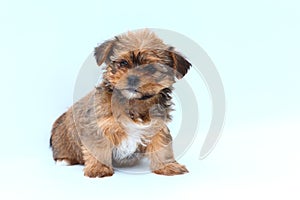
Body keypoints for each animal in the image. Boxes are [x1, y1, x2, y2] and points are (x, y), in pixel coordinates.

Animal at [49, 28, 190, 177]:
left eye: (151, 69)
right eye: (123, 63)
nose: (133, 78)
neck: (133, 102)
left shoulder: (158, 126)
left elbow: (162, 146)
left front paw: (168, 166)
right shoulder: (98, 127)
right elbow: (98, 148)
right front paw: (99, 168)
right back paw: (64, 159)